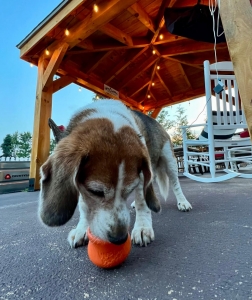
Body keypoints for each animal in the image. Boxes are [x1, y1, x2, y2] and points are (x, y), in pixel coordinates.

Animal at [39, 99, 191, 247]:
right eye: (95, 192)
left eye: (129, 189)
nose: (119, 239)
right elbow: (84, 204)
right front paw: (81, 229)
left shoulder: (142, 174)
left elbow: (142, 201)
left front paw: (142, 227)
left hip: (170, 161)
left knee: (175, 184)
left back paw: (183, 202)